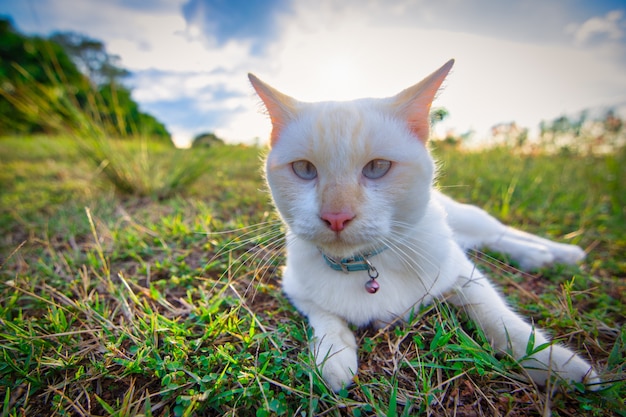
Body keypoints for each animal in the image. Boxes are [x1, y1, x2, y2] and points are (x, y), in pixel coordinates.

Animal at [246, 59, 596, 394]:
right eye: (304, 169)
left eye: (378, 167)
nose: (336, 216)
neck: (365, 265)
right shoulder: (294, 285)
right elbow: (323, 315)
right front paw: (333, 355)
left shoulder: (461, 273)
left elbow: (499, 318)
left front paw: (554, 363)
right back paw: (538, 257)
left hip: (468, 220)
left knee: (501, 234)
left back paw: (560, 252)